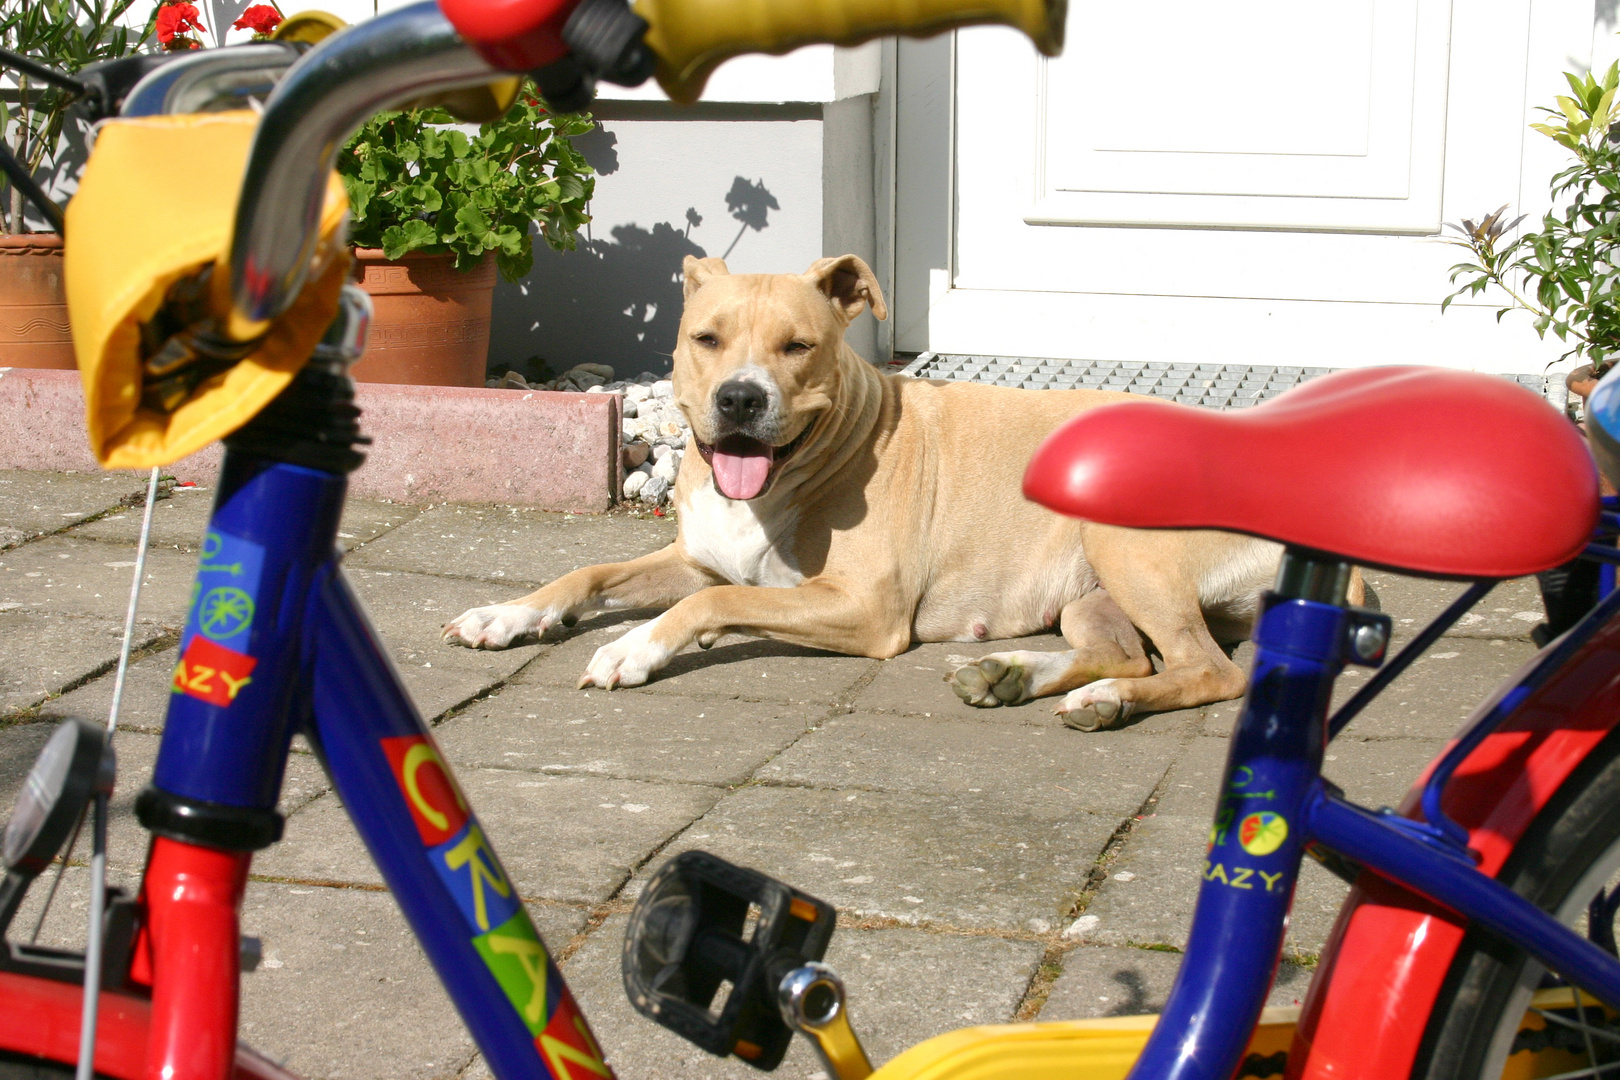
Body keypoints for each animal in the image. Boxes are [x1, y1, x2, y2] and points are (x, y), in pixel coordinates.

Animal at [443, 250, 1341, 735]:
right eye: (706, 339)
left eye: (798, 346)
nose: (740, 400)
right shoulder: (696, 555)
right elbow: (588, 574)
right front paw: (507, 614)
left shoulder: (863, 607)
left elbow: (708, 605)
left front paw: (636, 647)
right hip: (1091, 585)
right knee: (1124, 649)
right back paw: (1017, 677)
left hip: (1125, 544)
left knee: (1208, 669)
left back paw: (1107, 698)